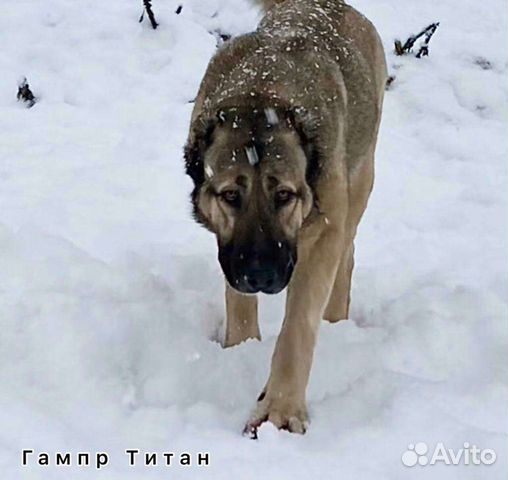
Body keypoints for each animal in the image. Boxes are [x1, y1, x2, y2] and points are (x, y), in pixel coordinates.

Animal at [185, 0, 386, 436]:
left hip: (361, 178)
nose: (260, 275)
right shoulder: (232, 252)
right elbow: (239, 304)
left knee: (347, 254)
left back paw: (336, 323)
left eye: (284, 195)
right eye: (230, 195)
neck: (262, 93)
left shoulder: (322, 233)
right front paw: (241, 349)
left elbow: (297, 328)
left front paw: (280, 409)